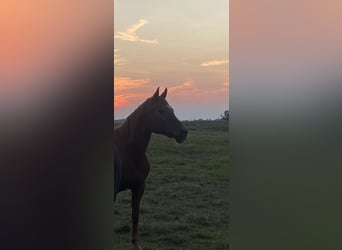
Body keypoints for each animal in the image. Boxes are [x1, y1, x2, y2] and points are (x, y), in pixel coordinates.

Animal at [114, 87, 187, 249]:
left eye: (172, 109)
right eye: (161, 111)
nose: (184, 132)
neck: (128, 152)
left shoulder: (139, 187)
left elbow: (135, 215)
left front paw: (136, 244)